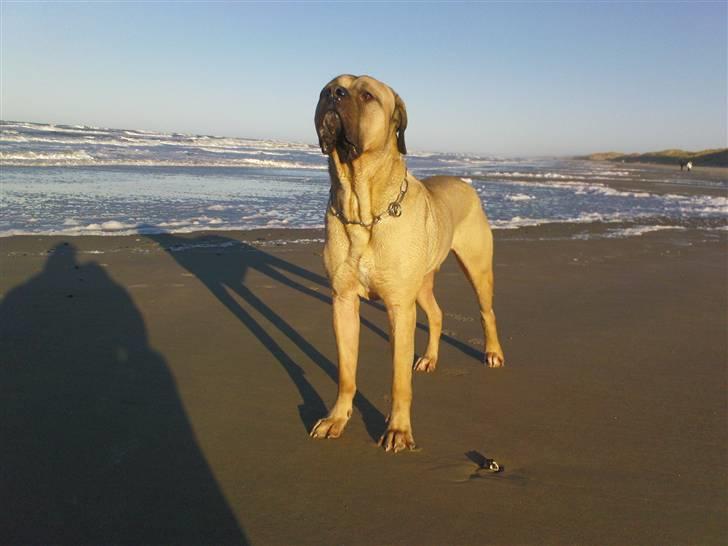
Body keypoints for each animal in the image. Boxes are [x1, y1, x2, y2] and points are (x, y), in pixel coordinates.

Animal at [310, 75, 504, 450]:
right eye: (327, 88)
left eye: (367, 95)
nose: (333, 95)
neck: (363, 208)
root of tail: (464, 183)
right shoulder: (342, 301)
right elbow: (346, 371)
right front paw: (336, 418)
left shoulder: (399, 306)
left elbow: (399, 379)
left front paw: (398, 430)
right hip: (422, 282)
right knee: (437, 313)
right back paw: (430, 357)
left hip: (477, 267)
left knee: (486, 311)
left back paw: (492, 352)